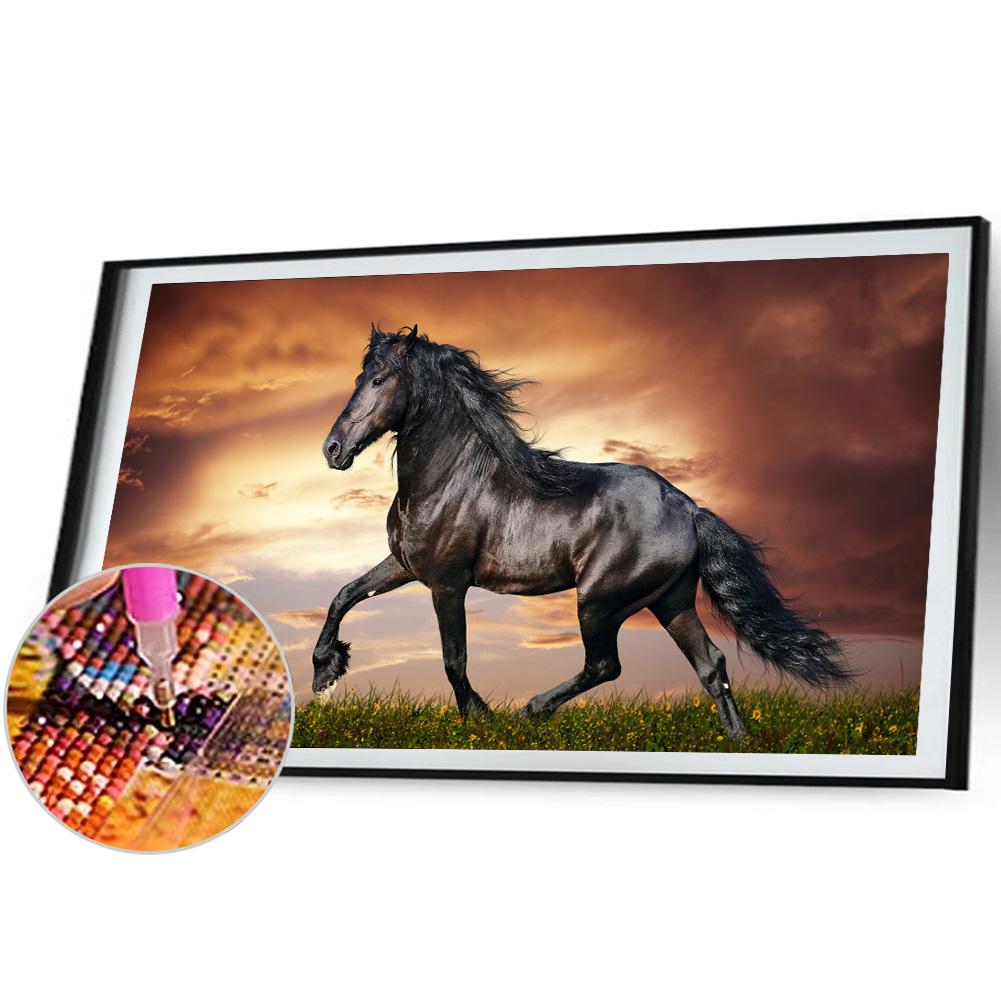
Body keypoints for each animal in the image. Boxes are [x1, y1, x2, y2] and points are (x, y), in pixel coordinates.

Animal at [312, 324, 849, 737]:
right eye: (359, 376)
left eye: (379, 379)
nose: (332, 449)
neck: (449, 480)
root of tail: (689, 508)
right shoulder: (404, 566)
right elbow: (345, 595)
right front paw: (324, 672)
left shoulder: (447, 583)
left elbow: (453, 659)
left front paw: (479, 718)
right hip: (670, 601)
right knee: (710, 664)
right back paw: (737, 738)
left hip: (600, 600)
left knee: (605, 665)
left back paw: (530, 711)